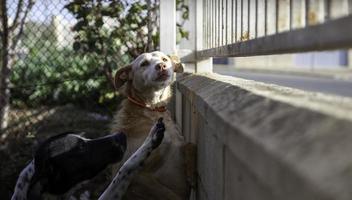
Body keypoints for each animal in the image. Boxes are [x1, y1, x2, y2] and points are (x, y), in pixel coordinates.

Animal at [112, 51, 190, 200]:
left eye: (164, 59)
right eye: (144, 64)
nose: (161, 66)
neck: (152, 108)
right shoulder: (138, 177)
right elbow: (169, 194)